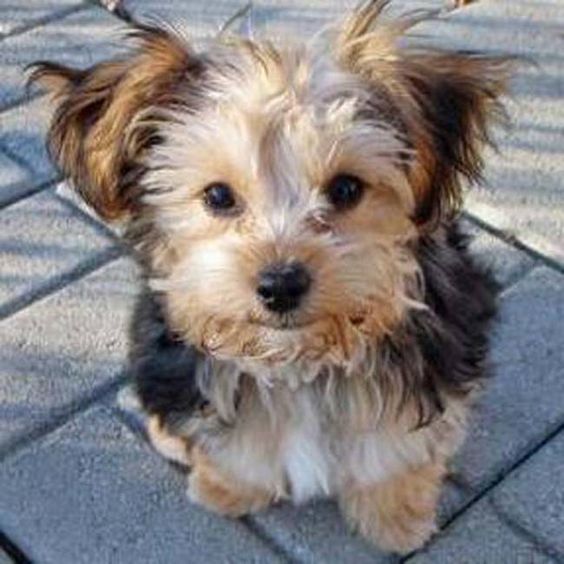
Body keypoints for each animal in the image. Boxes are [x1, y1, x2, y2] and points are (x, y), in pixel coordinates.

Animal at [30, 0, 512, 552]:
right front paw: (226, 488)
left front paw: (395, 519)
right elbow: (232, 449)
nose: (280, 286)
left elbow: (397, 452)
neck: (298, 364)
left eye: (346, 189)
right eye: (218, 196)